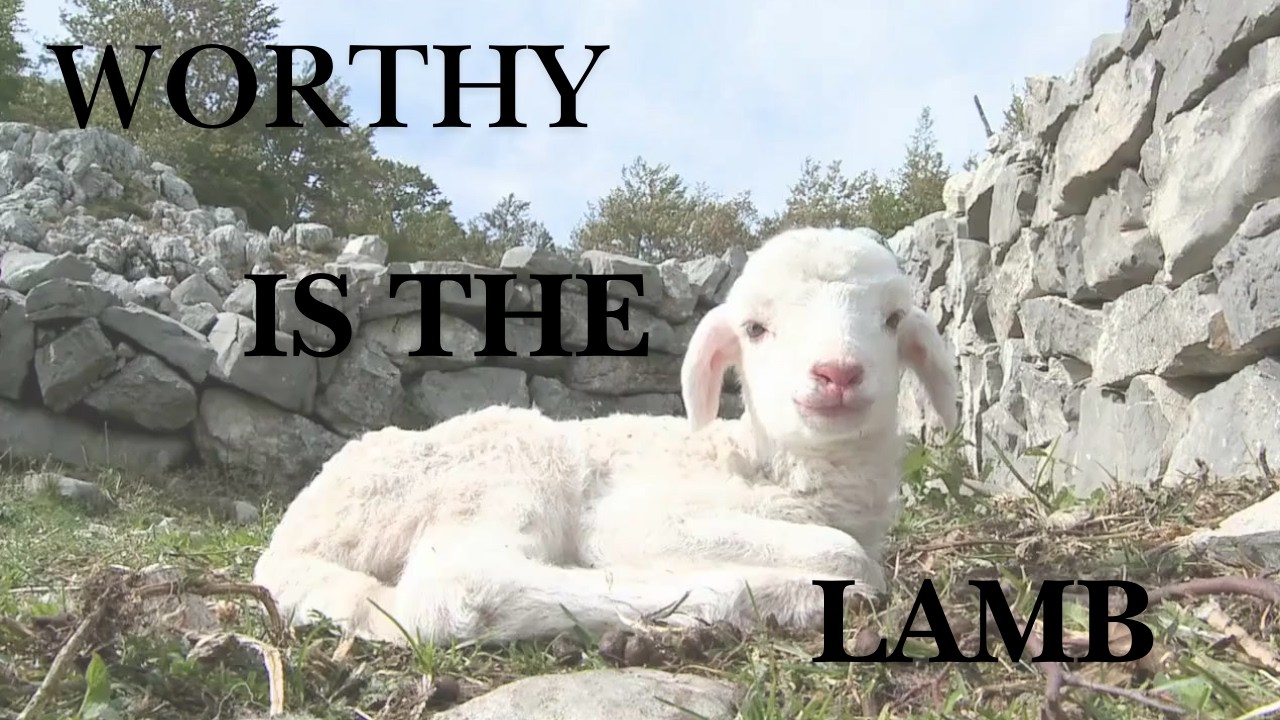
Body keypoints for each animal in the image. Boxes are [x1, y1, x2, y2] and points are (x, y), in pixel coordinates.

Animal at [251, 226, 959, 647]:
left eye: (893, 320)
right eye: (755, 329)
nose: (837, 373)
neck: (772, 464)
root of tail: (292, 539)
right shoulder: (639, 515)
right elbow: (847, 555)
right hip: (506, 461)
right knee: (458, 586)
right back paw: (746, 600)